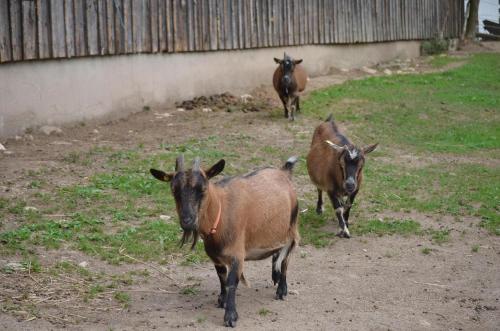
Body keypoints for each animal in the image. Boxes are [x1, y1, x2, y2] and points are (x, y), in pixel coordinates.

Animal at [148, 157, 296, 328]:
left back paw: (281, 290)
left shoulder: (237, 254)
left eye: (203, 190)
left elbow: (231, 281)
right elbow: (221, 277)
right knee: (277, 254)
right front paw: (222, 300)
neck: (221, 212)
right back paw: (275, 277)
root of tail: (284, 172)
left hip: (292, 229)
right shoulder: (215, 256)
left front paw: (230, 316)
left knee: (286, 259)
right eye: (174, 191)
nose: (187, 221)